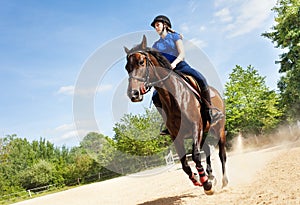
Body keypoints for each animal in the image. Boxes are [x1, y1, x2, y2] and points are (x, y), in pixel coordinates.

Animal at [123, 34, 227, 194]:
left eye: (141, 62)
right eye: (127, 67)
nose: (133, 94)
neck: (175, 97)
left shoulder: (196, 127)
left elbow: (195, 155)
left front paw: (206, 184)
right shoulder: (176, 135)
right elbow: (184, 163)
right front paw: (197, 179)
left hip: (219, 129)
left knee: (222, 154)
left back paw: (223, 181)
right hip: (205, 131)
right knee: (207, 150)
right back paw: (210, 175)